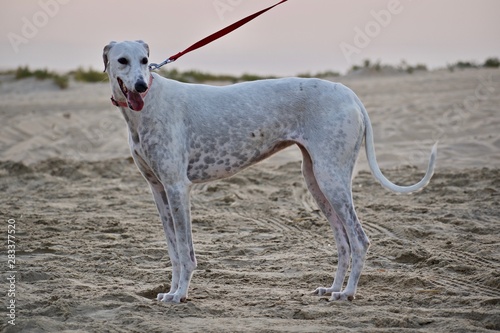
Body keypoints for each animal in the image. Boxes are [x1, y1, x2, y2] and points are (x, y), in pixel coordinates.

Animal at [102, 40, 438, 302]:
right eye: (122, 60)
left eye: (145, 61)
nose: (141, 85)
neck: (148, 105)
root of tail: (348, 92)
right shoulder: (158, 189)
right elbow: (173, 250)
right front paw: (170, 291)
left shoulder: (177, 187)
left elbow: (186, 251)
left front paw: (181, 294)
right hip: (316, 180)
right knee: (343, 242)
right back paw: (332, 289)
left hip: (332, 179)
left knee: (359, 240)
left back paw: (348, 293)